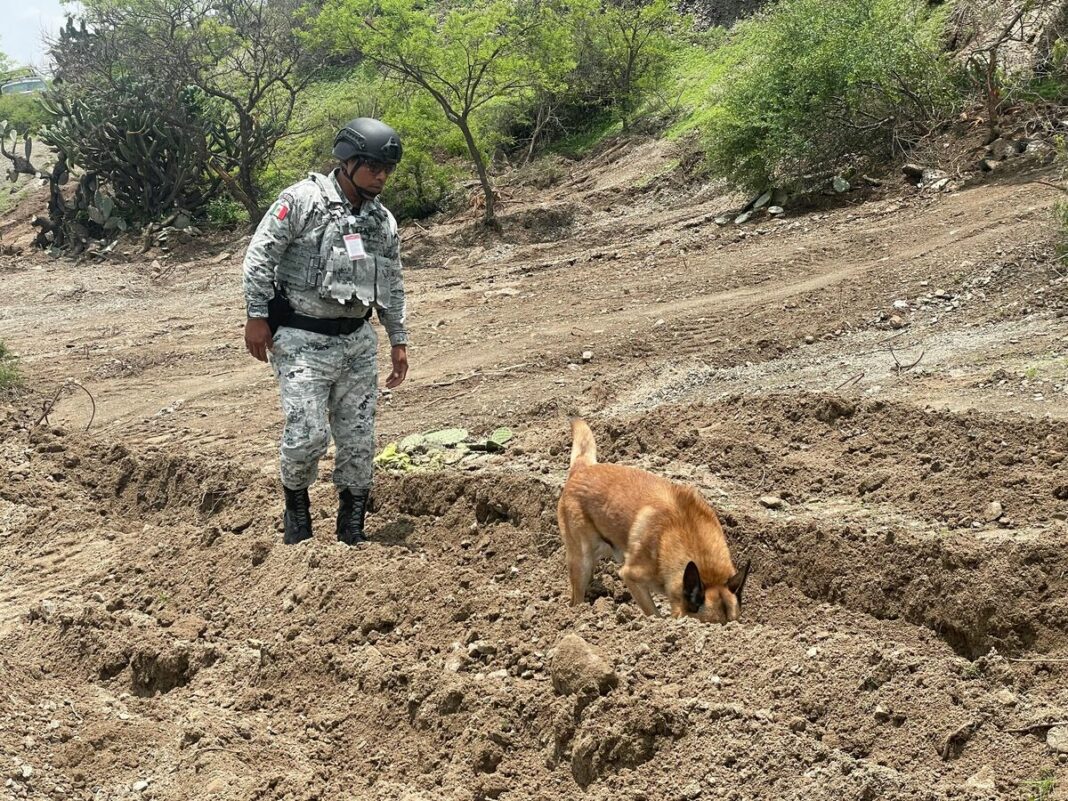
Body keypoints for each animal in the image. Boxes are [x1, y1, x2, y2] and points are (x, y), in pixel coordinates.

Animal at [559, 420, 751, 627]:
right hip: (581, 562)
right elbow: (654, 615)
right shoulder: (631, 576)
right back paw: (580, 615)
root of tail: (582, 469)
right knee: (575, 600)